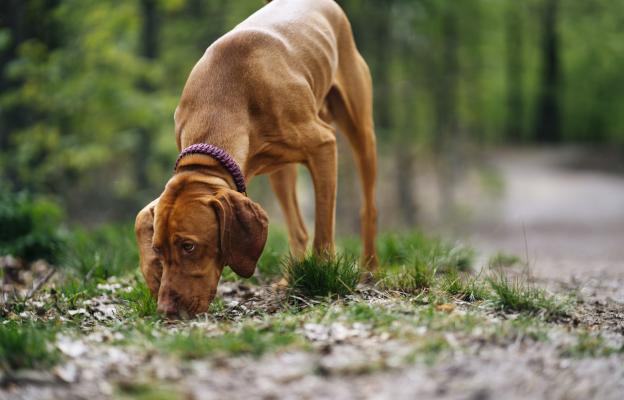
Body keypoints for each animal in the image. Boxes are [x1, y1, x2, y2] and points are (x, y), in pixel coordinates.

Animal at [135, 0, 378, 318]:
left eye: (189, 246)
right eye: (159, 249)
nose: (166, 311)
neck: (220, 103)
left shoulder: (324, 145)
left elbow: (324, 229)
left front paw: (325, 276)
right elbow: (141, 217)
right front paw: (152, 275)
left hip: (361, 130)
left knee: (367, 207)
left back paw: (369, 268)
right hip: (280, 171)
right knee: (298, 230)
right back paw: (289, 279)